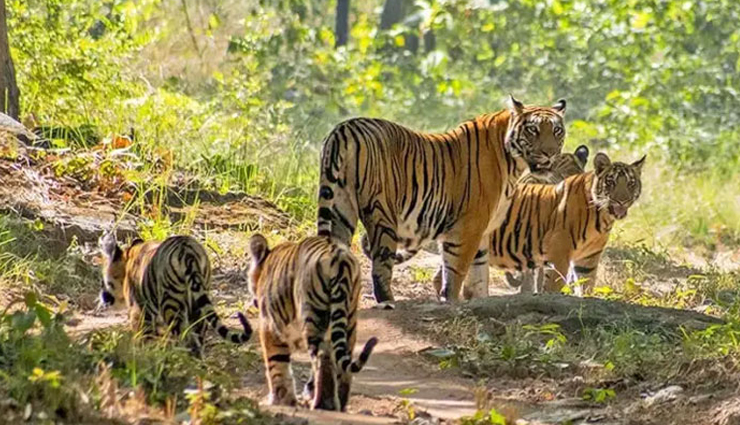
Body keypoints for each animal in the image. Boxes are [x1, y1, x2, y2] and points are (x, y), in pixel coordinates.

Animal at [98, 233, 252, 354]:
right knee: (198, 335)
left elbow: (143, 337)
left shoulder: (139, 311)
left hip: (171, 304)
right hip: (198, 302)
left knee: (185, 337)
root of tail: (187, 252)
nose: (103, 297)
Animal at [247, 234, 378, 411]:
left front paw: (280, 400)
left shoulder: (270, 326)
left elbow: (276, 364)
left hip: (313, 317)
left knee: (322, 358)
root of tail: (339, 257)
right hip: (349, 320)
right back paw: (339, 404)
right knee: (341, 362)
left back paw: (322, 404)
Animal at [317, 96, 567, 304]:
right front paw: (452, 302)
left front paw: (478, 301)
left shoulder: (483, 231)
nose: (549, 153)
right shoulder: (467, 228)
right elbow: (456, 272)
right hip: (382, 214)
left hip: (341, 209)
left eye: (557, 130)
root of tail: (345, 128)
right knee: (381, 266)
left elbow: (479, 275)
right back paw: (387, 302)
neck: (514, 163)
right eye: (533, 129)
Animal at [481, 152, 645, 294]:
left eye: (631, 183)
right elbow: (554, 286)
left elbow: (586, 286)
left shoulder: (588, 259)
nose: (622, 200)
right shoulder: (558, 254)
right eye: (611, 182)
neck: (603, 217)